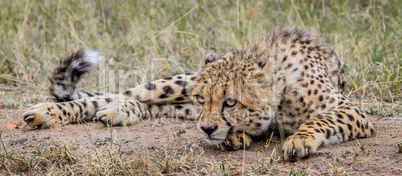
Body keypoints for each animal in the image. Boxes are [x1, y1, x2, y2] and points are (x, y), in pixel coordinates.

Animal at [22, 25, 374, 160]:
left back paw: (121, 112)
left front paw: (299, 140)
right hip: (175, 84)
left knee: (140, 104)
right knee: (114, 95)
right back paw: (43, 113)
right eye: (202, 99)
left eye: (230, 102)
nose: (205, 128)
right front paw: (236, 136)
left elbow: (318, 120)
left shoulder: (353, 112)